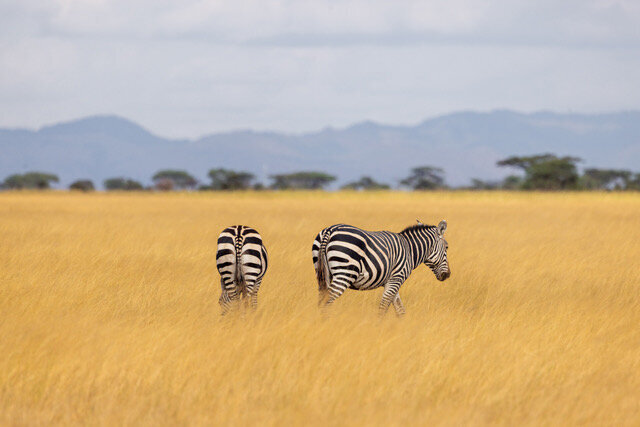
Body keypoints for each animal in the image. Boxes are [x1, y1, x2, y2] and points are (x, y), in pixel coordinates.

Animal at [312, 220, 450, 316]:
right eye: (447, 247)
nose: (447, 275)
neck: (409, 250)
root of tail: (330, 230)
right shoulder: (396, 278)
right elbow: (384, 307)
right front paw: (379, 328)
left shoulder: (391, 281)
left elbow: (400, 309)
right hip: (344, 273)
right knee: (326, 301)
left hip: (322, 272)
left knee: (321, 300)